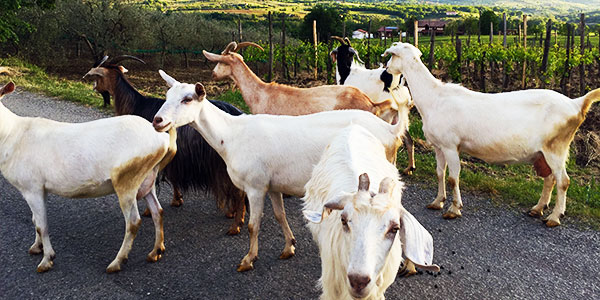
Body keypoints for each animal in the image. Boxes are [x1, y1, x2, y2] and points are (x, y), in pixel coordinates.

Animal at [152, 71, 406, 272]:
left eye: (187, 99)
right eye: (167, 96)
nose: (157, 120)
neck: (231, 135)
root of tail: (390, 130)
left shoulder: (255, 186)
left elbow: (254, 224)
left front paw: (248, 260)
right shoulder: (273, 185)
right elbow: (279, 215)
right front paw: (289, 247)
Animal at [382, 41, 600, 225]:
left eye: (390, 57)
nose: (385, 72)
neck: (434, 96)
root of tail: (576, 103)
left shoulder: (451, 146)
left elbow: (453, 178)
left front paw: (454, 209)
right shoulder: (439, 145)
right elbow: (439, 173)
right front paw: (437, 202)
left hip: (556, 148)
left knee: (563, 181)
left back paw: (554, 217)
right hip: (544, 153)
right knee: (550, 179)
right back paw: (537, 209)